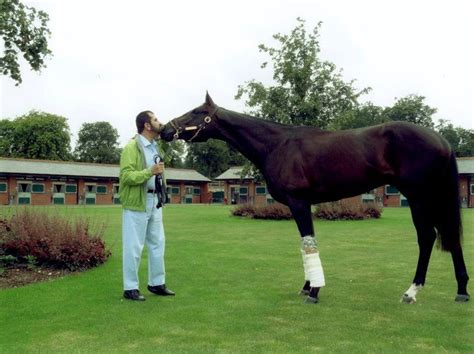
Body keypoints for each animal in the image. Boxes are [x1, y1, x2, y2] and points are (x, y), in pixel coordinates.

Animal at [161, 92, 468, 302]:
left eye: (197, 111)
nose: (165, 129)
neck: (277, 144)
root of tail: (442, 140)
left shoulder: (299, 203)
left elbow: (309, 244)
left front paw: (314, 291)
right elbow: (305, 245)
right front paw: (307, 286)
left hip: (420, 197)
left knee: (428, 237)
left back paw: (412, 291)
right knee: (449, 236)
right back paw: (462, 290)